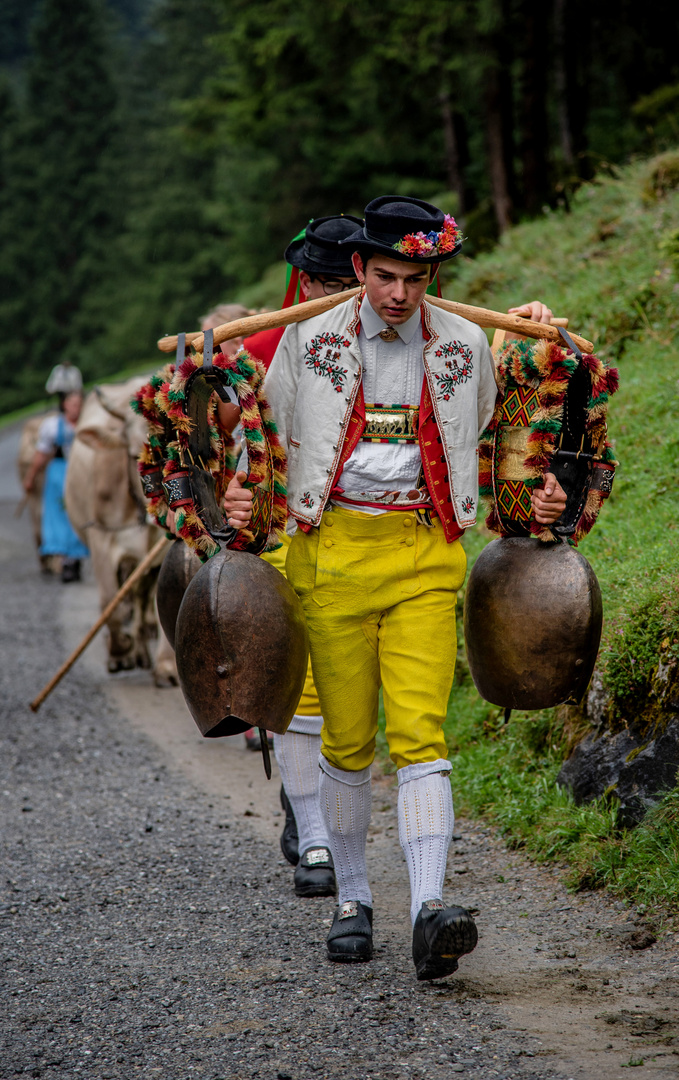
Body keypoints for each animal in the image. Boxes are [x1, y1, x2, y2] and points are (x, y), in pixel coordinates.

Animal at [65, 378, 177, 682]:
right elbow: (109, 604)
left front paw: (166, 665)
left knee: (140, 597)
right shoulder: (102, 539)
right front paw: (120, 651)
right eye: (134, 455)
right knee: (124, 599)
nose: (168, 513)